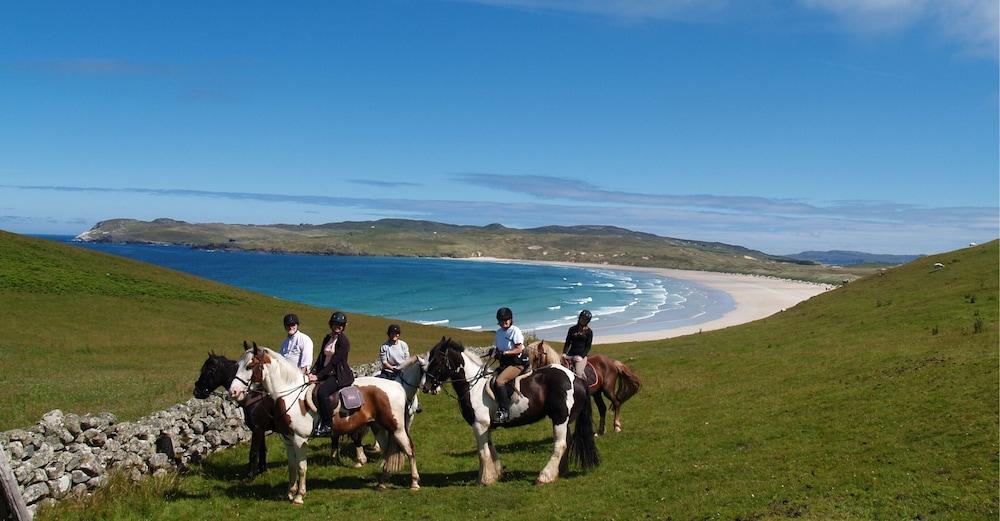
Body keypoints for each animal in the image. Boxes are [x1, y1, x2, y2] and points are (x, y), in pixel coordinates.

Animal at [230, 344, 418, 502]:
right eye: (237, 365)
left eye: (250, 366)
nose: (234, 392)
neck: (290, 394)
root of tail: (397, 387)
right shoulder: (288, 440)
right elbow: (292, 467)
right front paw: (290, 492)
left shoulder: (299, 439)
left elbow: (301, 467)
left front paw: (299, 496)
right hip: (379, 427)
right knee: (387, 453)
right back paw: (382, 483)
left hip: (397, 428)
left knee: (409, 450)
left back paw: (414, 483)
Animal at [418, 336, 596, 486]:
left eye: (437, 361)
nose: (425, 387)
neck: (473, 386)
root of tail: (576, 378)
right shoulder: (486, 426)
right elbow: (490, 449)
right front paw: (496, 474)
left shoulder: (479, 425)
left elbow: (482, 453)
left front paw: (484, 480)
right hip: (563, 420)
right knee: (566, 442)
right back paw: (559, 472)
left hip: (560, 418)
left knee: (560, 445)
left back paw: (544, 476)